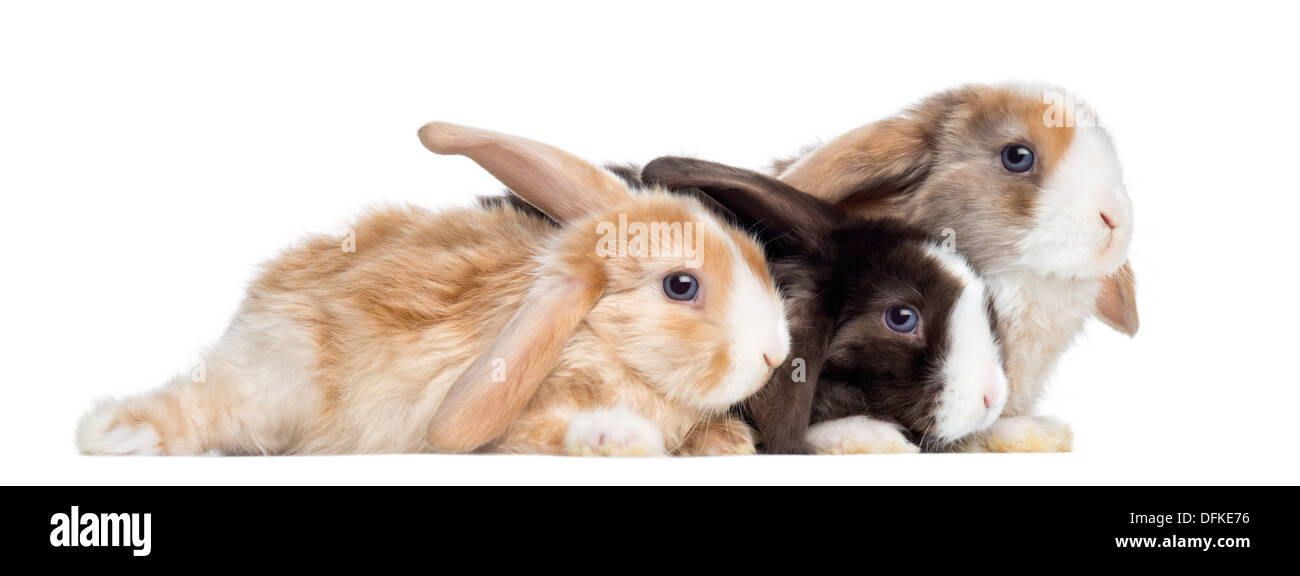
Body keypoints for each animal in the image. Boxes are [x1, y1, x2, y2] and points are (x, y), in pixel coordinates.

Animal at [75, 122, 791, 457]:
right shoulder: (527, 416)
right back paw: (112, 434)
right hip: (276, 385)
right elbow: (560, 429)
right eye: (681, 285)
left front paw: (726, 443)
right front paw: (620, 439)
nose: (775, 353)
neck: (599, 336)